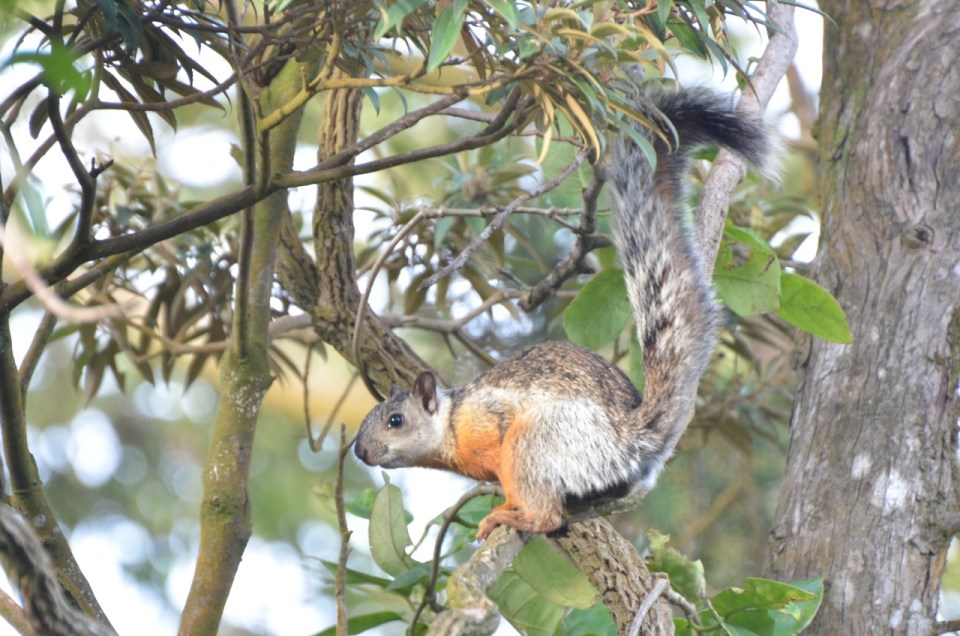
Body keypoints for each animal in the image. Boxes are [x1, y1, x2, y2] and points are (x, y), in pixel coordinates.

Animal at [354, 88, 774, 541]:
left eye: (396, 420)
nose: (360, 451)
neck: (451, 425)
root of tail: (625, 442)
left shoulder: (490, 419)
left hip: (537, 442)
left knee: (547, 513)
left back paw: (514, 516)